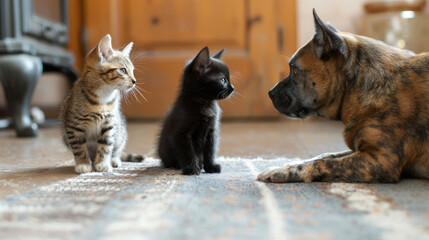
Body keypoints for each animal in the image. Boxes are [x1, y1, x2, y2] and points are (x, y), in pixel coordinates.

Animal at [59, 34, 143, 172]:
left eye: (132, 70)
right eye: (123, 70)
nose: (134, 81)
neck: (103, 98)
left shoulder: (109, 124)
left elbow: (106, 146)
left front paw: (103, 163)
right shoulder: (73, 127)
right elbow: (78, 147)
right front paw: (83, 164)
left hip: (120, 134)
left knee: (116, 150)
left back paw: (114, 160)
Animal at [256, 8, 428, 183]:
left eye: (294, 69)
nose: (269, 93)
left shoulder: (380, 159)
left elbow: (321, 163)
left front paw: (282, 171)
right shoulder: (361, 151)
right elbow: (324, 155)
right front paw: (286, 164)